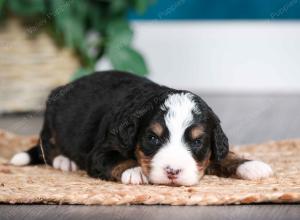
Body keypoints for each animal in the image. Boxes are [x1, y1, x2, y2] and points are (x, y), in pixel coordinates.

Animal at [9, 70, 272, 186]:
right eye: (153, 138)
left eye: (197, 141)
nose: (172, 171)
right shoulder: (102, 150)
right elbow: (115, 159)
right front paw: (135, 171)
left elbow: (223, 154)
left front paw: (251, 165)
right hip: (52, 121)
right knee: (47, 146)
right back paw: (65, 161)